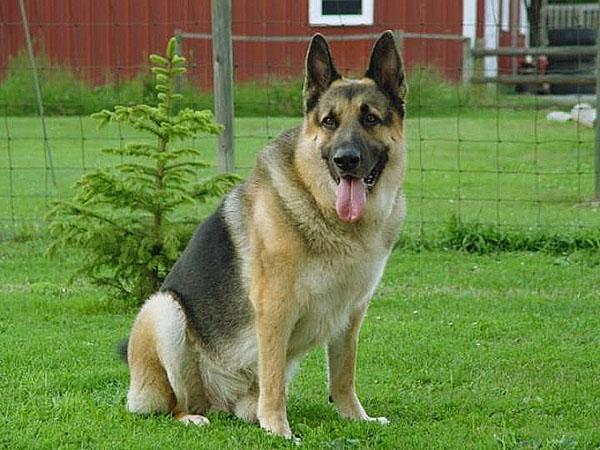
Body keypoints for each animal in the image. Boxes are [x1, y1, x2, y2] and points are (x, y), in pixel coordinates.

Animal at [125, 29, 408, 438]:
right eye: (329, 122)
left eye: (370, 119)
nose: (345, 160)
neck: (325, 210)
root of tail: (220, 403)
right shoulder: (275, 309)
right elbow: (273, 379)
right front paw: (278, 429)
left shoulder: (352, 313)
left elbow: (343, 375)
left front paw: (356, 418)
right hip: (163, 311)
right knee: (176, 403)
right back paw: (192, 416)